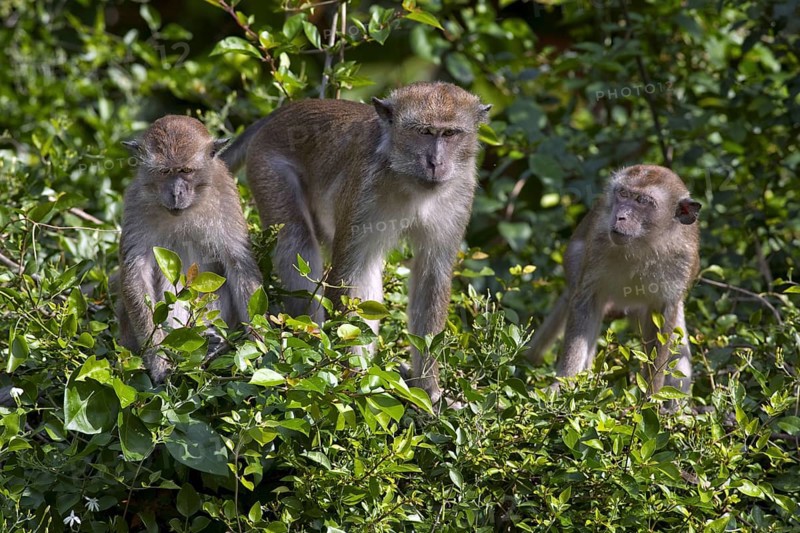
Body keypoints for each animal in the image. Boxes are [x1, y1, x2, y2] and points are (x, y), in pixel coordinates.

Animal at [116, 115, 263, 382]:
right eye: (165, 171)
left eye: (186, 170)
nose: (176, 193)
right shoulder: (135, 202)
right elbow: (136, 274)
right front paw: (158, 359)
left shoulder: (225, 196)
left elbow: (239, 265)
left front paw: (262, 345)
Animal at [222, 82, 491, 405]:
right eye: (424, 132)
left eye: (450, 134)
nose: (436, 163)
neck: (407, 177)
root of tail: (285, 111)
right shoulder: (365, 188)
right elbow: (350, 273)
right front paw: (347, 377)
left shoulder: (460, 193)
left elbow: (431, 277)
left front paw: (429, 389)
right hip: (268, 168)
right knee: (297, 241)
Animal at [526, 165, 701, 395]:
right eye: (623, 194)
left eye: (642, 201)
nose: (620, 216)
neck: (645, 244)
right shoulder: (598, 242)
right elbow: (585, 302)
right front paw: (563, 382)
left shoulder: (682, 260)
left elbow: (665, 322)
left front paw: (651, 396)